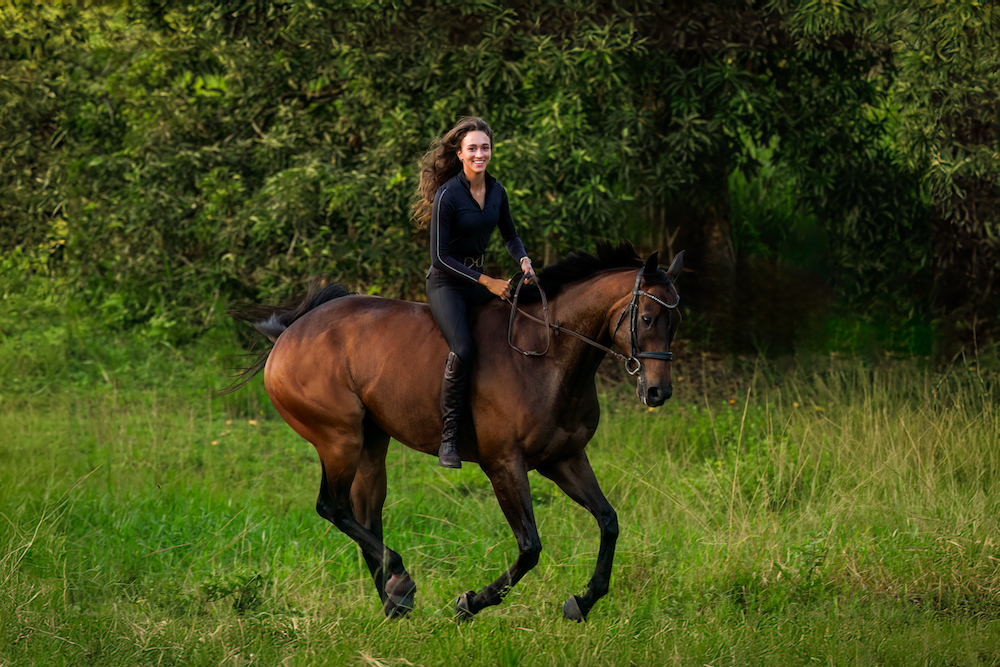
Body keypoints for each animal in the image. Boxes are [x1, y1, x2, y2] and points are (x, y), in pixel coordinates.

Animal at [228, 241, 684, 621]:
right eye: (646, 318)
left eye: (675, 321)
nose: (658, 392)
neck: (546, 358)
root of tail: (289, 332)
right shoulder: (503, 465)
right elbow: (530, 548)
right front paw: (471, 602)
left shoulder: (564, 459)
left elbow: (609, 521)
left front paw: (582, 601)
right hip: (339, 439)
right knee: (333, 507)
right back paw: (400, 580)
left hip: (371, 443)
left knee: (366, 514)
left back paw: (394, 601)